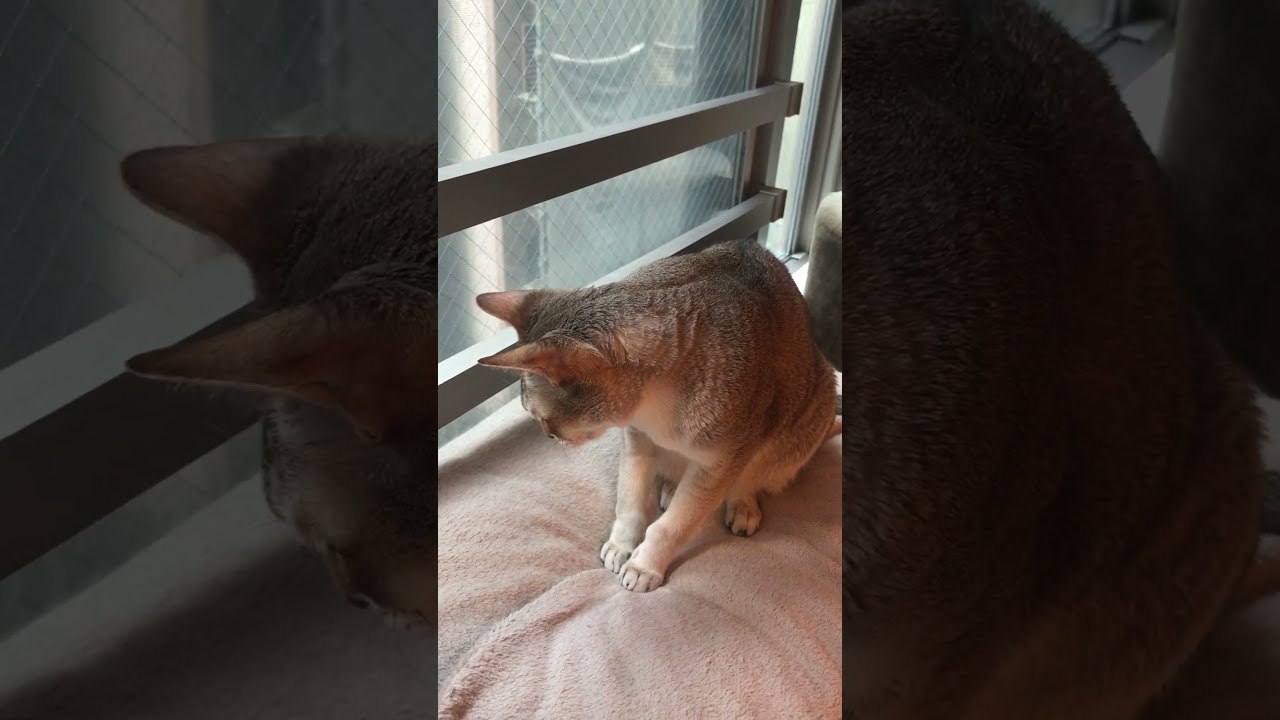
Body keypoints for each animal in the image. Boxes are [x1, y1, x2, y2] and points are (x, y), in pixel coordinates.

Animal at [474, 239, 839, 592]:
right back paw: (671, 487)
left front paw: (644, 565)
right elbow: (630, 501)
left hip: (810, 415)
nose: (549, 436)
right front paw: (622, 545)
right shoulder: (637, 438)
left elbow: (674, 525)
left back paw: (741, 504)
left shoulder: (722, 461)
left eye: (542, 417)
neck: (654, 405)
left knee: (755, 475)